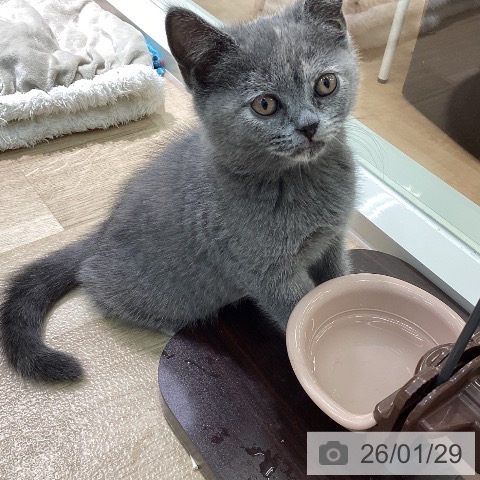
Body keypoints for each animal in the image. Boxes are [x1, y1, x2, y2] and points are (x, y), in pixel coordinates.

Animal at [0, 0, 359, 382]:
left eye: (326, 83)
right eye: (265, 104)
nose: (309, 126)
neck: (303, 179)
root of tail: (97, 237)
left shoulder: (332, 241)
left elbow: (337, 279)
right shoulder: (266, 273)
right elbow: (296, 312)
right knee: (103, 290)